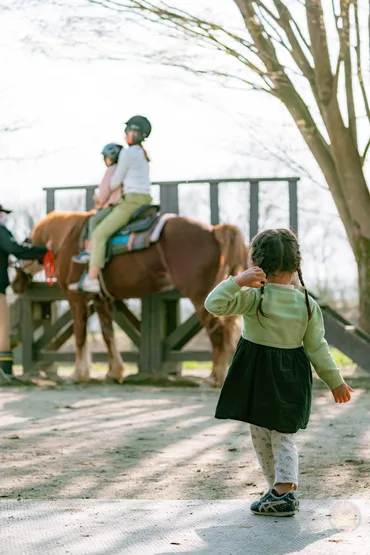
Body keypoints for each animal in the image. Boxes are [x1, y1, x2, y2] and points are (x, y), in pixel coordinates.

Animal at [13, 211, 249, 388]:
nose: (15, 284)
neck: (66, 239)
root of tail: (214, 231)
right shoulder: (102, 300)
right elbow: (108, 335)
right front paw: (113, 373)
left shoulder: (76, 299)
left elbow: (80, 336)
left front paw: (78, 374)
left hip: (202, 297)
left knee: (218, 331)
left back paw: (214, 377)